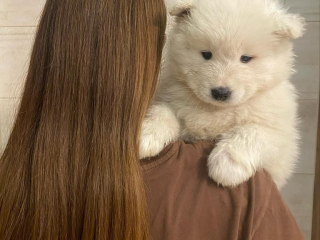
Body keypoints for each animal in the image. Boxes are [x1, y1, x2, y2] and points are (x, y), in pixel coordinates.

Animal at [141, 0, 304, 188]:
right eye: (206, 54)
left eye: (245, 58)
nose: (220, 93)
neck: (217, 110)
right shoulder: (171, 97)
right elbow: (162, 112)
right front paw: (146, 135)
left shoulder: (280, 136)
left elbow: (252, 132)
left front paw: (227, 166)